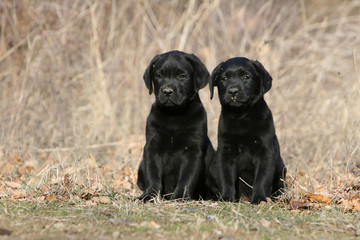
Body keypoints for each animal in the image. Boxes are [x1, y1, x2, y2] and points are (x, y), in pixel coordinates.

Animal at [137, 51, 214, 202]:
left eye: (182, 76)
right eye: (159, 75)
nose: (167, 91)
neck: (174, 115)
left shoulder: (193, 150)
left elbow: (187, 177)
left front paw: (180, 197)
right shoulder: (152, 147)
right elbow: (152, 174)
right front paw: (148, 195)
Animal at [207, 57, 286, 203]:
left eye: (246, 77)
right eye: (224, 78)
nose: (233, 91)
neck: (241, 116)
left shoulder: (265, 151)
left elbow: (262, 177)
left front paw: (260, 198)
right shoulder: (225, 151)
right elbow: (226, 177)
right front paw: (226, 197)